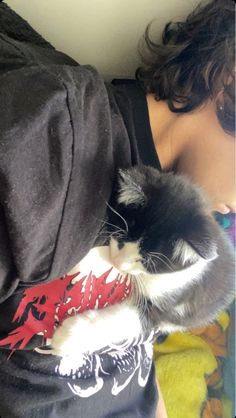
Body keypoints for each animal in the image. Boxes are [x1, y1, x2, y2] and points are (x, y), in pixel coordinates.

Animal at [51, 165, 234, 368]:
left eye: (147, 261)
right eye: (121, 236)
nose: (118, 263)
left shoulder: (172, 300)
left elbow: (132, 319)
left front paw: (68, 337)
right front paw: (85, 262)